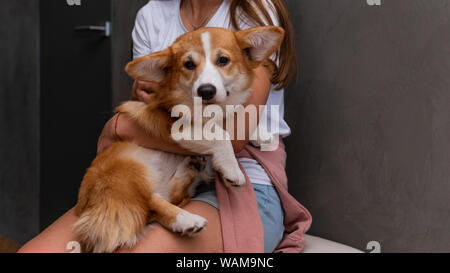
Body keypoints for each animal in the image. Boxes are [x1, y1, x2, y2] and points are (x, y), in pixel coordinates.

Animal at [74, 25, 284, 251]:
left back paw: (189, 169)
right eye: (188, 64)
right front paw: (232, 169)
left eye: (223, 60)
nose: (205, 91)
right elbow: (221, 135)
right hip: (129, 168)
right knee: (150, 204)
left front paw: (260, 133)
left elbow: (234, 117)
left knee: (168, 196)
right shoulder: (175, 127)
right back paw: (186, 220)